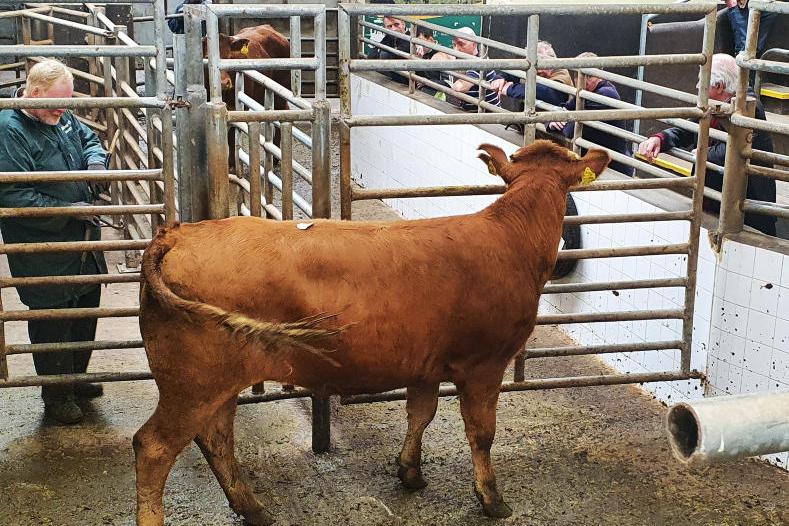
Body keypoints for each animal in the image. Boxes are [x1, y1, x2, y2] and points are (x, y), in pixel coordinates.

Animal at [133, 140, 610, 526]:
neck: (511, 239)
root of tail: (178, 233)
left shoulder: (426, 364)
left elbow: (420, 414)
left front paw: (410, 472)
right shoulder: (484, 364)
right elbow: (482, 433)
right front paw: (491, 499)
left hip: (215, 380)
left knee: (215, 437)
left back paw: (253, 509)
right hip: (192, 382)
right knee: (154, 447)